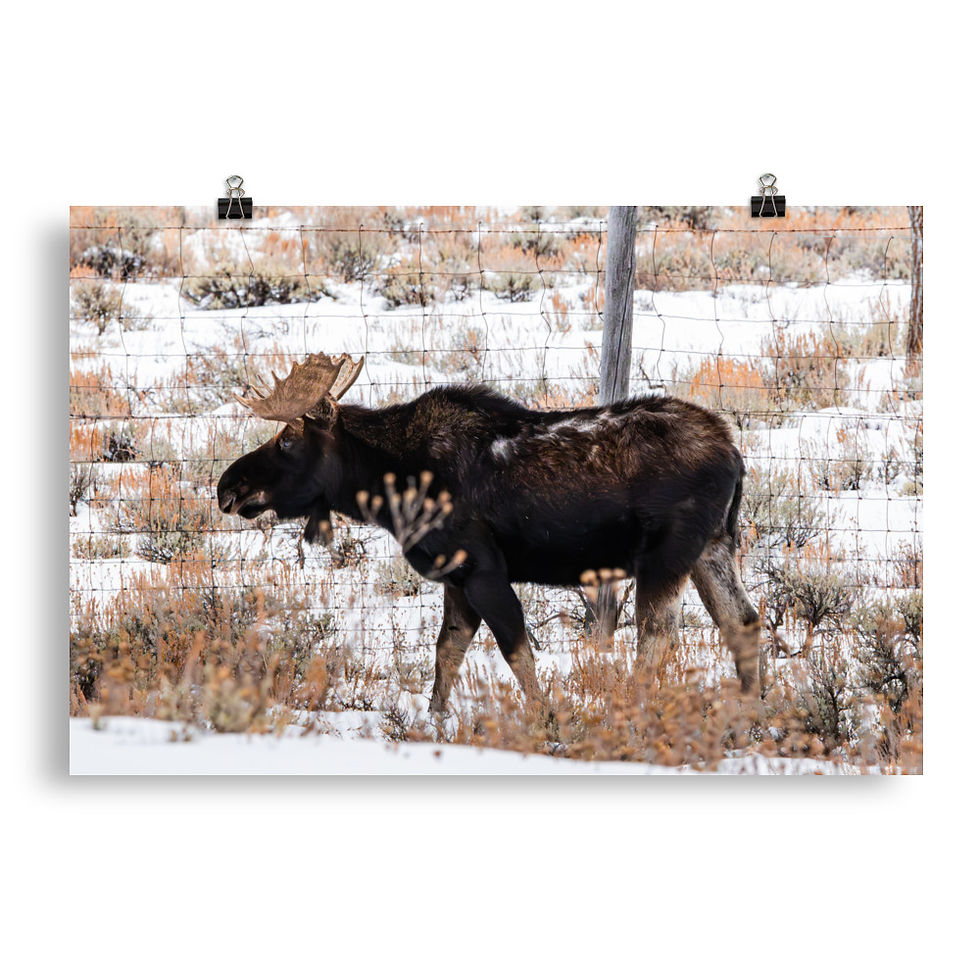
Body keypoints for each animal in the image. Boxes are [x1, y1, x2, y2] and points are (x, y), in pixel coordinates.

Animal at [216, 352, 763, 714]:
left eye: (288, 439)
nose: (226, 486)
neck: (391, 487)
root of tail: (735, 456)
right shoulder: (455, 579)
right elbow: (446, 653)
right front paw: (433, 722)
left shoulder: (481, 570)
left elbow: (517, 654)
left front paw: (548, 722)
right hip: (713, 548)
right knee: (743, 622)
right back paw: (749, 715)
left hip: (666, 556)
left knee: (656, 638)